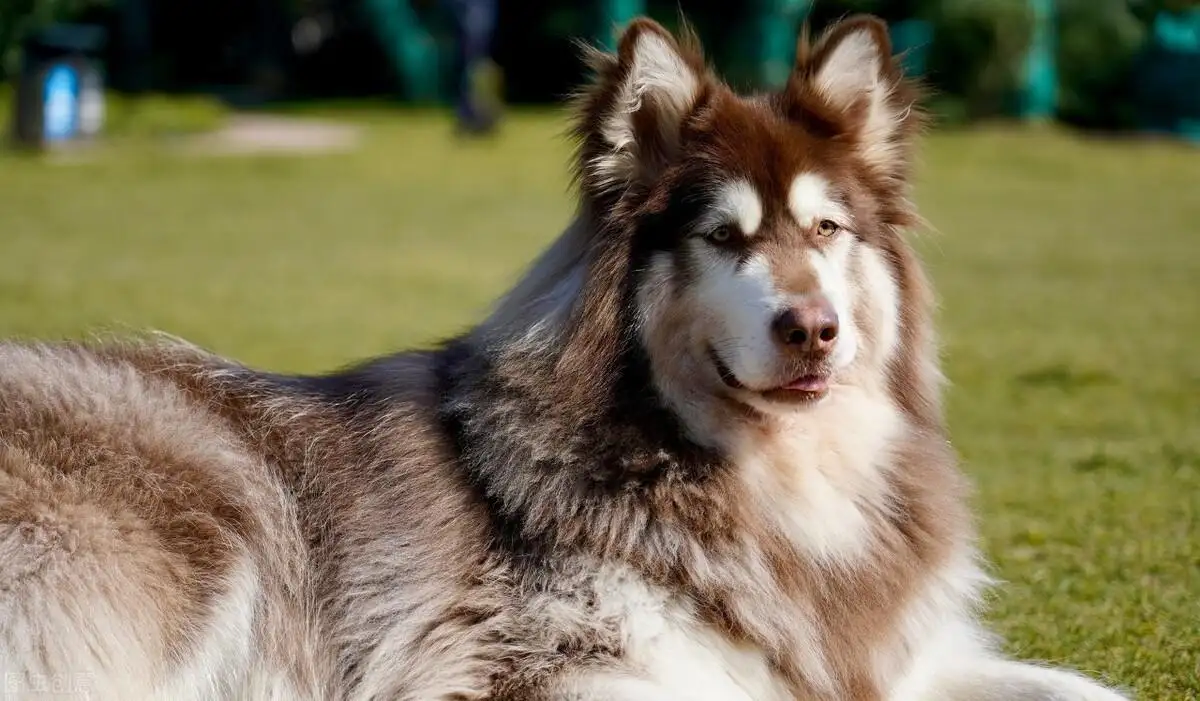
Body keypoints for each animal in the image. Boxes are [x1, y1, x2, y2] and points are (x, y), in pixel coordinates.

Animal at [0, 16, 1128, 701]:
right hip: (212, 513)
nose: (813, 327)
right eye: (722, 235)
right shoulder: (551, 668)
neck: (773, 482)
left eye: (827, 229)